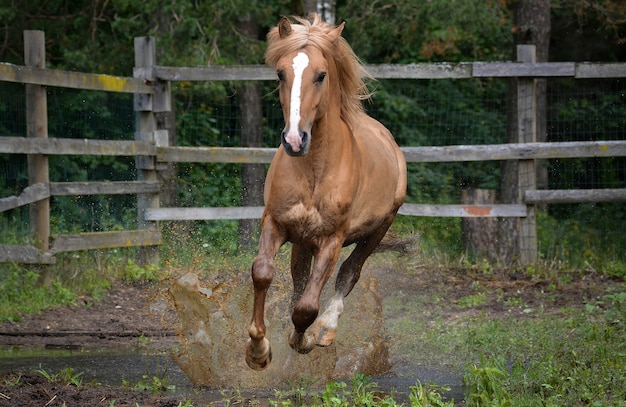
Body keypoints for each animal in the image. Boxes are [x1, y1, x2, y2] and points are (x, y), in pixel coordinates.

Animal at [244, 14, 404, 372]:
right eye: (280, 73)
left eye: (321, 75)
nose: (294, 140)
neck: (314, 171)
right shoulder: (277, 223)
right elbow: (263, 274)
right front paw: (258, 351)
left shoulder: (331, 240)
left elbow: (306, 307)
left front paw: (303, 340)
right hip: (303, 242)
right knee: (301, 281)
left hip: (378, 228)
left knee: (348, 274)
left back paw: (326, 330)